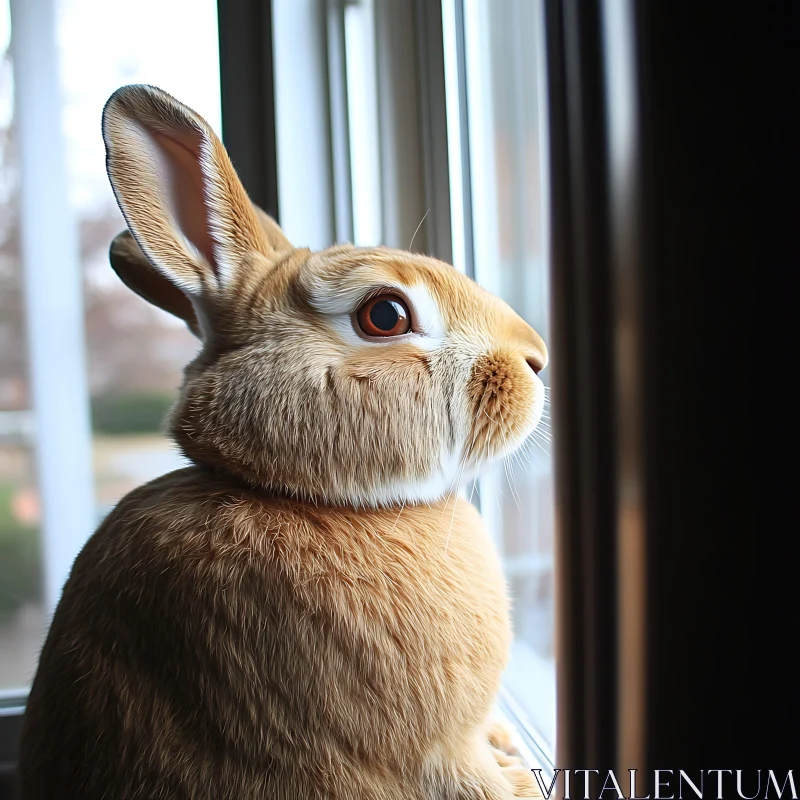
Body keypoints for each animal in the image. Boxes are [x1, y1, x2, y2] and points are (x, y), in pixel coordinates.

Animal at [14, 84, 552, 796]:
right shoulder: (435, 750)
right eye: (385, 315)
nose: (537, 358)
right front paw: (516, 778)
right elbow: (470, 776)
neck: (293, 494)